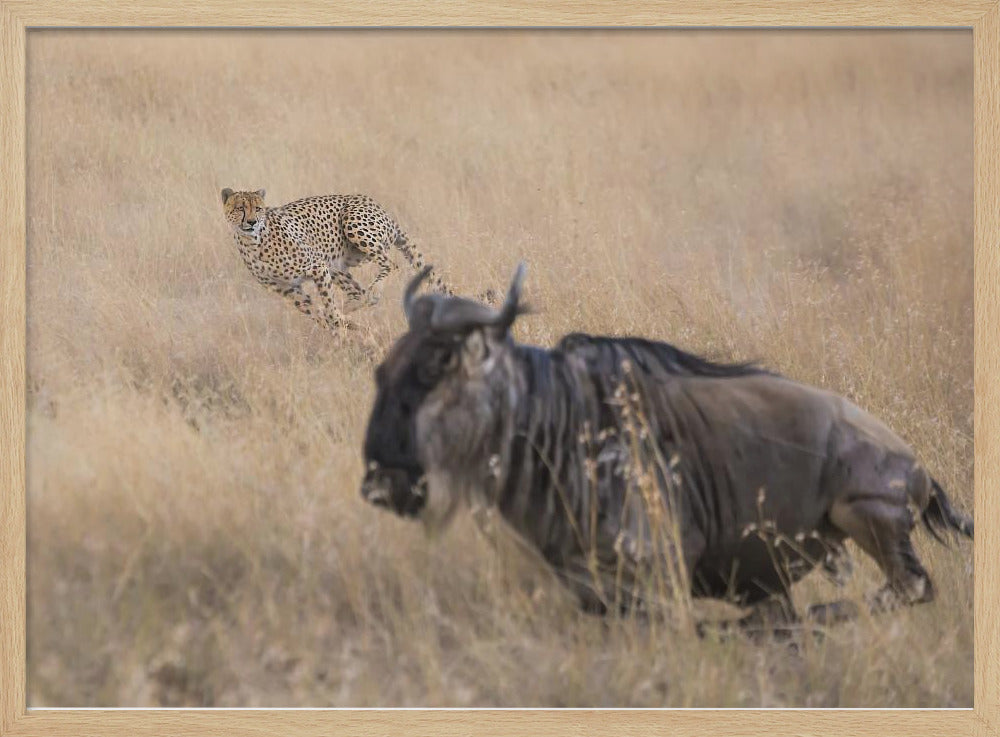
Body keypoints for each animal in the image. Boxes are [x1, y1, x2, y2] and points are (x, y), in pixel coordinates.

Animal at [221, 188, 453, 330]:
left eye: (258, 208)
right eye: (240, 208)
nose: (252, 222)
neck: (253, 242)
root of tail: (379, 207)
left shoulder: (317, 267)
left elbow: (329, 310)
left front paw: (340, 332)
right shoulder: (287, 289)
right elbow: (317, 313)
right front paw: (341, 329)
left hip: (353, 225)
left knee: (390, 265)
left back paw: (372, 293)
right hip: (337, 265)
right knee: (358, 292)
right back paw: (353, 310)